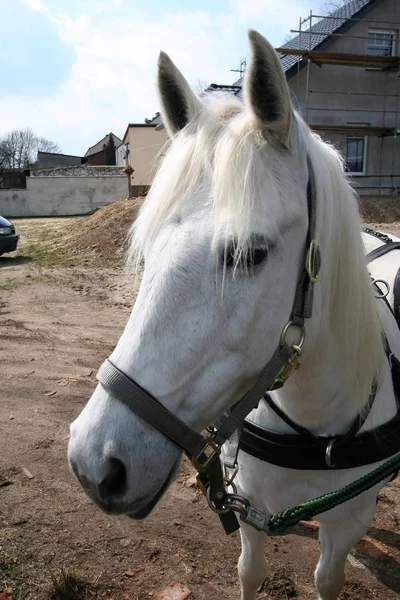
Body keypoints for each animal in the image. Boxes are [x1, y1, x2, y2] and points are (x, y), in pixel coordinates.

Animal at [69, 31, 400, 600]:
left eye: (251, 255)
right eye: (148, 248)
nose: (94, 464)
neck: (314, 427)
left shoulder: (345, 524)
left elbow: (328, 577)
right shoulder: (249, 504)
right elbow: (250, 572)